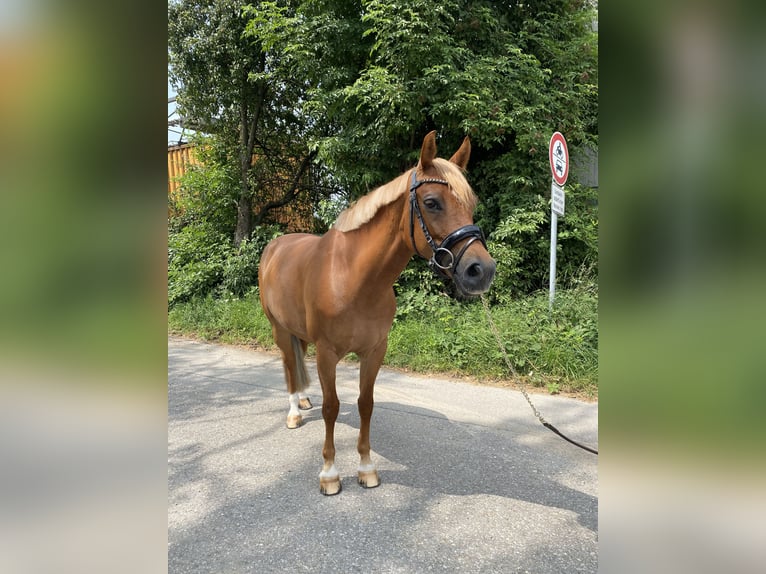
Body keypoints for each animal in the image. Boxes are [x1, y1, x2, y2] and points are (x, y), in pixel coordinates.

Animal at [260, 133, 498, 498]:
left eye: (471, 203)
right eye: (432, 202)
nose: (481, 271)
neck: (352, 278)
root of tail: (275, 247)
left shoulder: (375, 351)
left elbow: (365, 404)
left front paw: (366, 468)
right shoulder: (327, 354)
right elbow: (332, 407)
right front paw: (330, 474)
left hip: (298, 332)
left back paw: (303, 401)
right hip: (279, 330)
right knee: (289, 367)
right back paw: (293, 413)